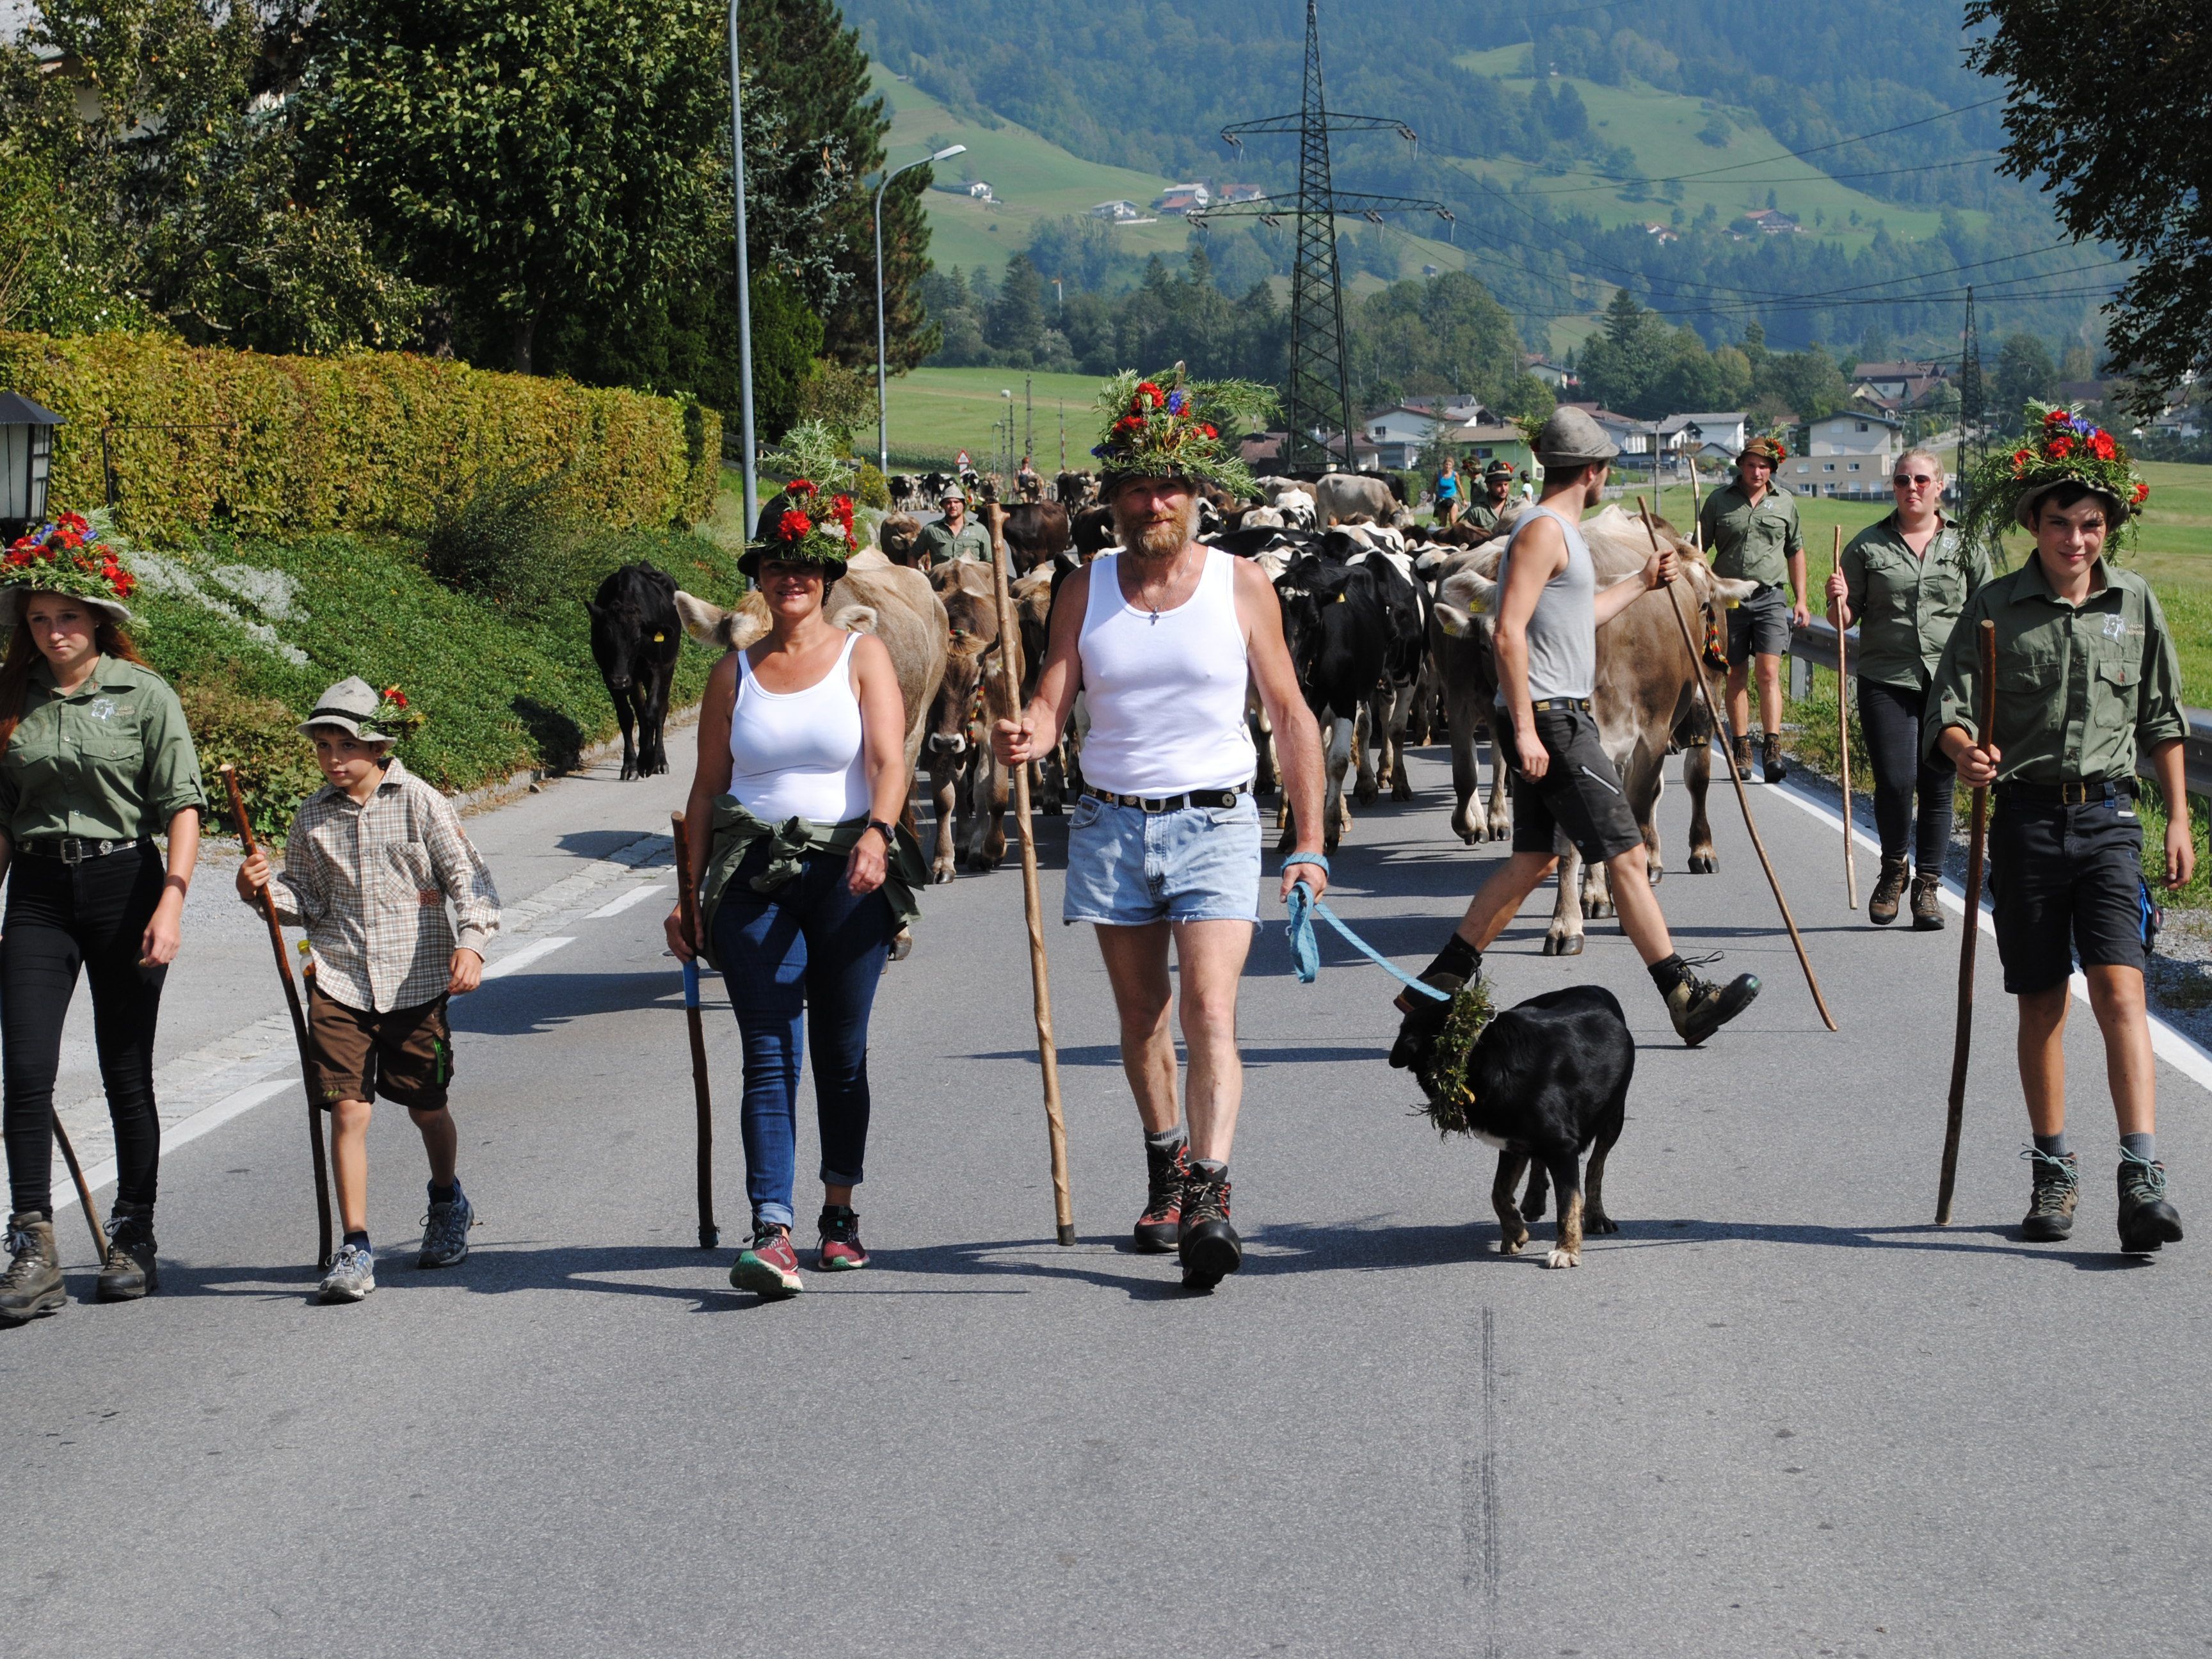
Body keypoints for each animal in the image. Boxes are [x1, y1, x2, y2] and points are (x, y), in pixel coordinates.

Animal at [588, 566, 681, 787]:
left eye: (637, 638)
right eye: (606, 637)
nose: (620, 679)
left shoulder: (656, 669)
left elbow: (652, 711)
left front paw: (647, 761)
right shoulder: (608, 674)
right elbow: (627, 716)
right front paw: (631, 766)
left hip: (669, 666)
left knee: (661, 709)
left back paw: (659, 761)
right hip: (635, 678)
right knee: (640, 707)